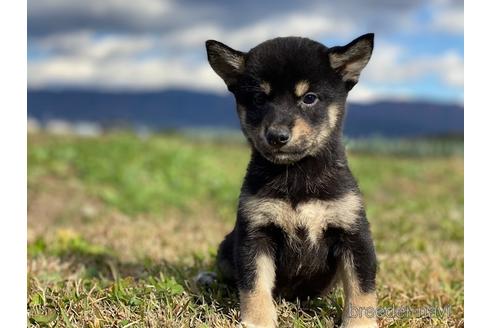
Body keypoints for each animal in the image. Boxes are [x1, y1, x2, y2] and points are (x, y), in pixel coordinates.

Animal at [204, 34, 376, 326]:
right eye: (259, 98)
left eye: (309, 98)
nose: (277, 136)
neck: (296, 174)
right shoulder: (255, 233)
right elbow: (253, 285)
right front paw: (258, 321)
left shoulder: (353, 234)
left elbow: (362, 288)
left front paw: (360, 324)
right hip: (228, 245)